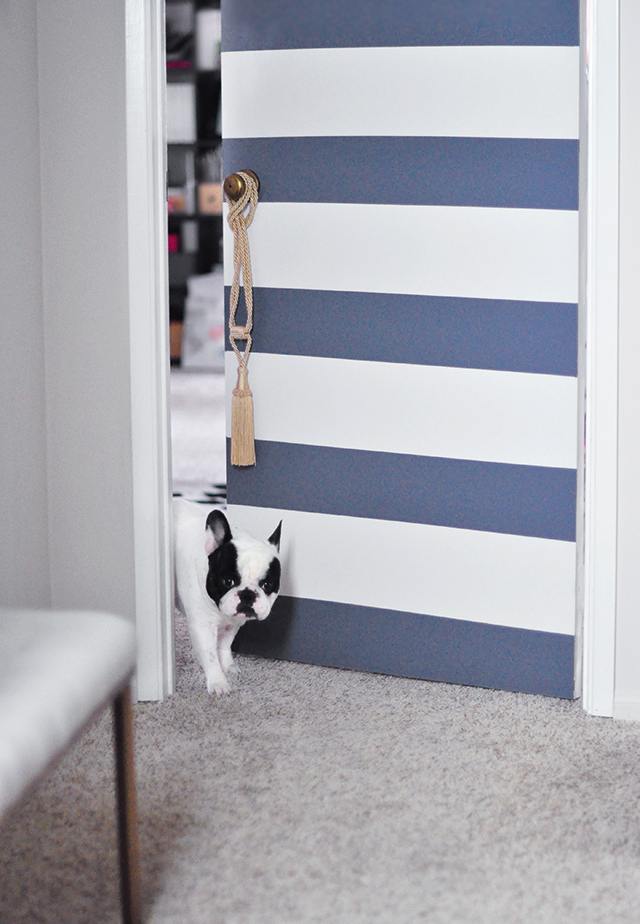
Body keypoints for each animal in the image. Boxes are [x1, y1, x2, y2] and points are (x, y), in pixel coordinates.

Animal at [174, 498, 282, 692]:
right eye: (228, 581)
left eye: (267, 585)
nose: (247, 594)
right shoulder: (202, 627)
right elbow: (210, 655)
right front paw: (218, 681)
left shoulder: (233, 624)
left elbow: (225, 646)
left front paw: (228, 666)